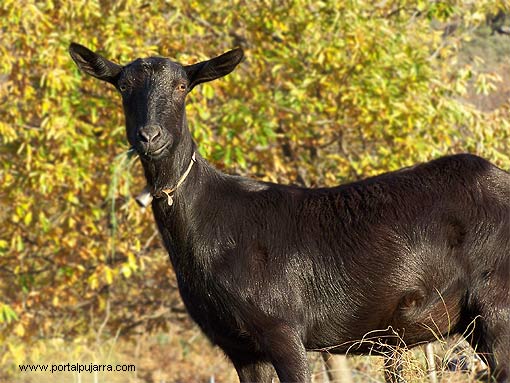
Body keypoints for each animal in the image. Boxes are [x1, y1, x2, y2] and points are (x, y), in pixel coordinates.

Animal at [68, 43, 510, 382]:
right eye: (123, 86)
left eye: (181, 86)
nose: (149, 136)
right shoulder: (239, 345)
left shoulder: (282, 327)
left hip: (498, 303)